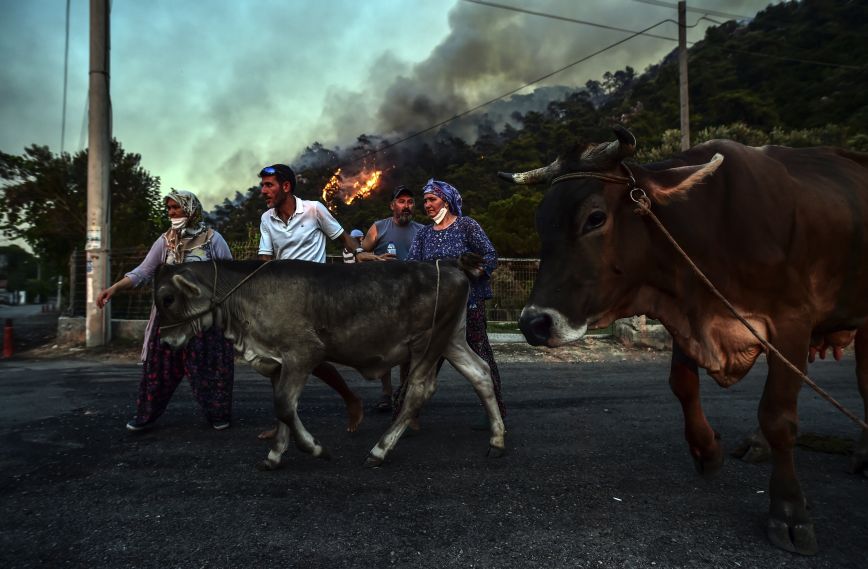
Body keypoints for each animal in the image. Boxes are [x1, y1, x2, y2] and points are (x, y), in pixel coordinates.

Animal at [498, 127, 868, 556]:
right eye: (541, 223)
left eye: (595, 218)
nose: (534, 323)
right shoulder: (688, 315)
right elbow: (683, 385)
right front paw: (706, 450)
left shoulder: (792, 320)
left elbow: (779, 417)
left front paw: (789, 511)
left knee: (861, 384)